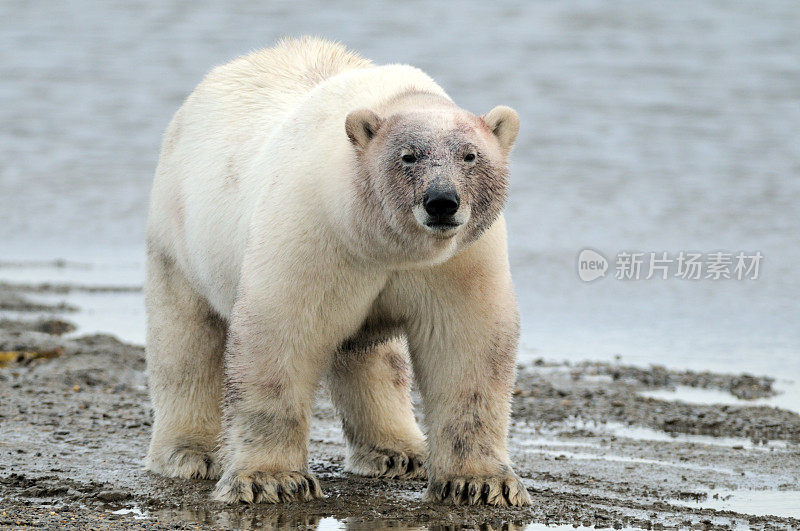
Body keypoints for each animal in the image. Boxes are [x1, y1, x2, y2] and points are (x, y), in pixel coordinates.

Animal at [145, 37, 532, 508]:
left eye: (470, 155)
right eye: (408, 156)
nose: (442, 202)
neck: (382, 240)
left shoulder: (460, 260)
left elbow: (467, 346)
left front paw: (479, 482)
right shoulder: (314, 233)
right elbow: (280, 334)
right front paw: (272, 479)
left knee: (375, 358)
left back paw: (397, 451)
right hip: (179, 234)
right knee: (184, 343)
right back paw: (189, 454)